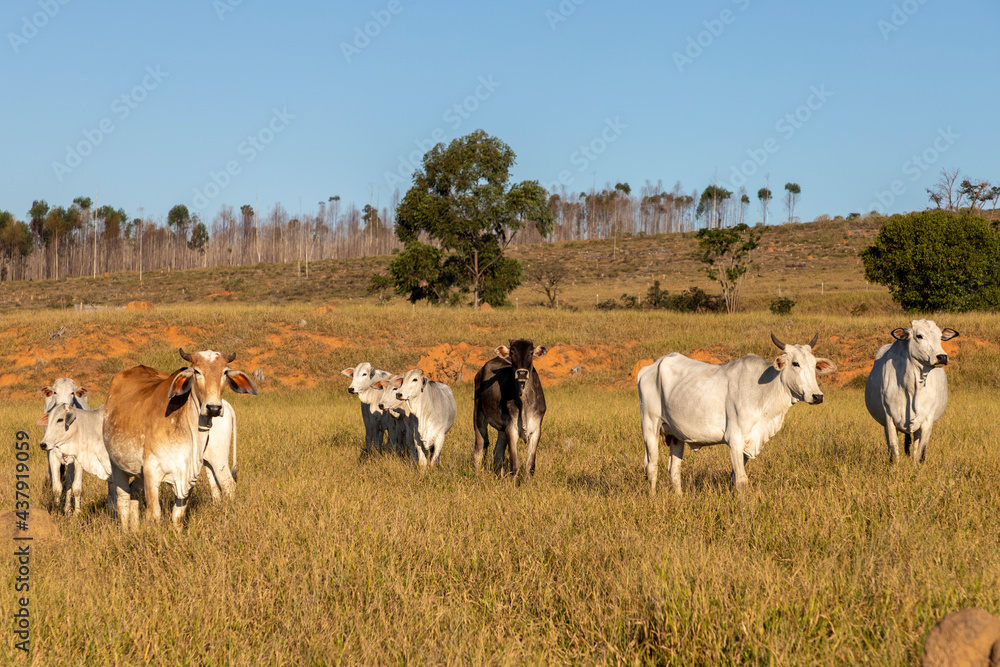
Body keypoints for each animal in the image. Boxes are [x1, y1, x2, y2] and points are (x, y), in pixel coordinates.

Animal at [38, 377, 90, 508]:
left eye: (72, 393)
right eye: (55, 392)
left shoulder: (77, 459)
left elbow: (75, 487)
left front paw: (75, 511)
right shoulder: (52, 454)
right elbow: (57, 487)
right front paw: (57, 508)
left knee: (69, 480)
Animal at [102, 349, 257, 530]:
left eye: (225, 372)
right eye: (197, 371)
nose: (213, 408)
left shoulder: (189, 476)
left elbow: (178, 516)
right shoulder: (150, 470)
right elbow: (154, 514)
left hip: (217, 460)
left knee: (227, 485)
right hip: (117, 464)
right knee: (124, 501)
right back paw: (127, 531)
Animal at [473, 339, 548, 483]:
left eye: (531, 352)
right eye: (512, 352)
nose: (522, 373)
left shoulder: (536, 430)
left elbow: (530, 465)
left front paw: (529, 485)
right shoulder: (511, 429)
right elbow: (514, 465)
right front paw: (513, 485)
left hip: (502, 429)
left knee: (498, 452)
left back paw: (501, 478)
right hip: (478, 416)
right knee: (479, 448)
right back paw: (478, 476)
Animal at [637, 334, 836, 495]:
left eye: (814, 365)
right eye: (796, 363)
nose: (817, 396)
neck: (764, 391)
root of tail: (650, 367)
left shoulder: (748, 444)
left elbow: (735, 477)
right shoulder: (734, 439)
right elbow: (741, 480)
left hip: (676, 436)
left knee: (674, 470)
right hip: (650, 425)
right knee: (652, 466)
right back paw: (653, 499)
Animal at [864, 319, 958, 464]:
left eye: (940, 336)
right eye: (919, 336)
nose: (942, 357)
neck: (911, 388)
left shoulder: (926, 421)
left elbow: (920, 455)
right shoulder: (890, 419)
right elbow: (893, 454)